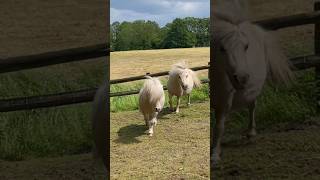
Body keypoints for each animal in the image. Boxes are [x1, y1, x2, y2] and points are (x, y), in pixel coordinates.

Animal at [211, 0, 294, 165]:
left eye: (246, 46)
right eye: (222, 48)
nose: (242, 78)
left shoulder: (224, 98)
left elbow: (219, 126)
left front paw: (215, 154)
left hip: (253, 91)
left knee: (252, 106)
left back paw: (251, 132)